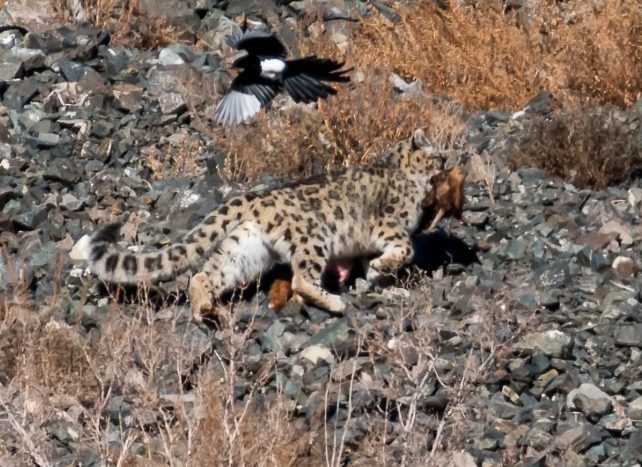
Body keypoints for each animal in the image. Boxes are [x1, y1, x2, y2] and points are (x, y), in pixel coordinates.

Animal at [81, 129, 446, 322]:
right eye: (438, 154)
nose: (448, 161)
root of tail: (255, 198)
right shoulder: (390, 224)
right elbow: (407, 249)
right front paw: (382, 267)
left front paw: (376, 277)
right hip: (313, 238)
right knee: (301, 279)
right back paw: (333, 302)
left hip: (245, 250)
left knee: (203, 275)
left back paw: (204, 309)